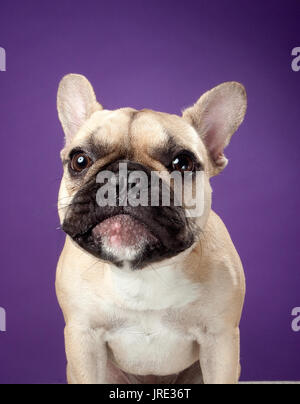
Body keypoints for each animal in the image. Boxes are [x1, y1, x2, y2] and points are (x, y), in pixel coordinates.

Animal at [55, 74, 246, 386]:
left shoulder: (220, 341)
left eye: (183, 163)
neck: (139, 274)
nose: (124, 177)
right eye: (79, 160)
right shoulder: (83, 339)